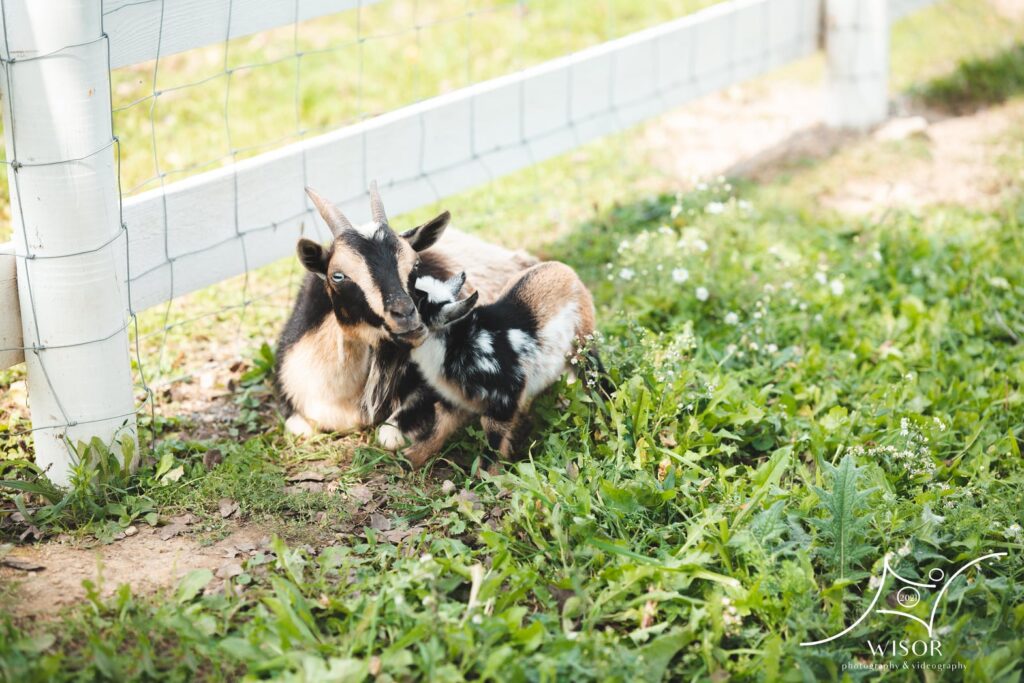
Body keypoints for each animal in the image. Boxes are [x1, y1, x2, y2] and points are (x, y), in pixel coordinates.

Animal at [382, 259, 593, 462]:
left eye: (413, 307)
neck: (456, 343)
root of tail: (563, 269)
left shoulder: (504, 401)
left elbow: (493, 445)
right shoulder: (455, 398)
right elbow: (439, 427)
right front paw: (411, 459)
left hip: (584, 343)